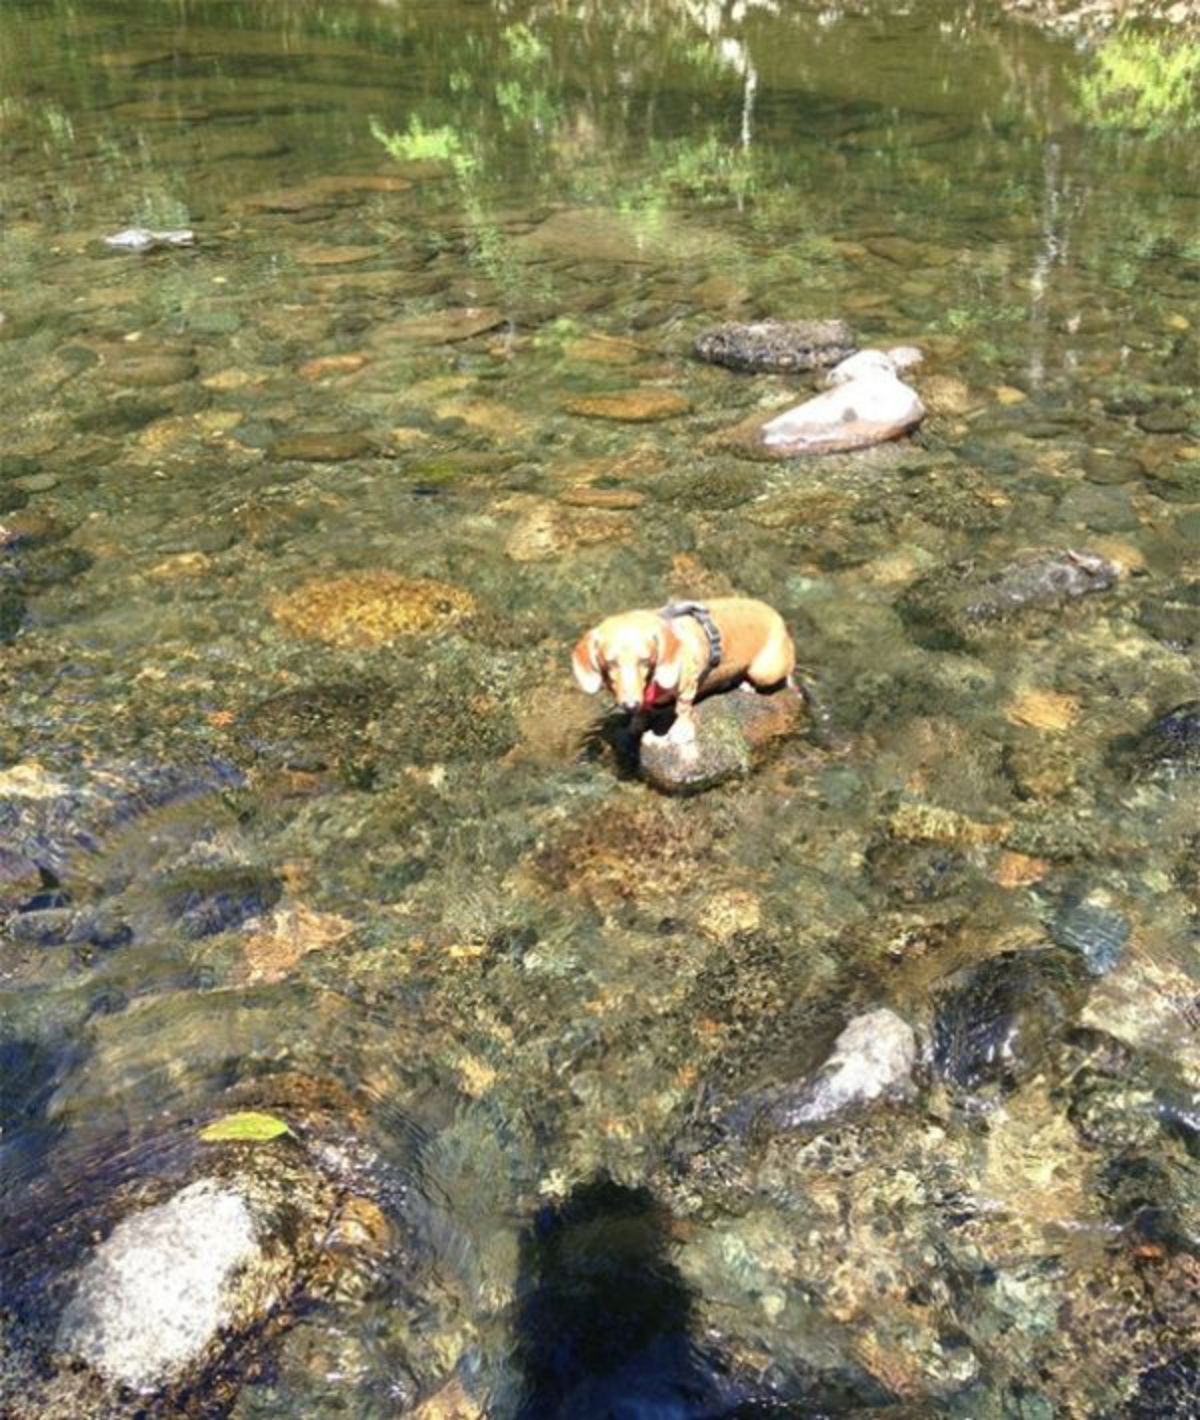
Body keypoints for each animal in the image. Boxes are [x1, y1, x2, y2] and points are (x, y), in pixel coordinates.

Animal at [570, 599, 795, 749]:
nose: (630, 705)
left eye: (645, 660)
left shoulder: (688, 683)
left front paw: (680, 731)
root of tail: (780, 621)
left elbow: (682, 707)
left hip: (764, 670)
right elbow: (642, 713)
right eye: (610, 663)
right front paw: (636, 722)